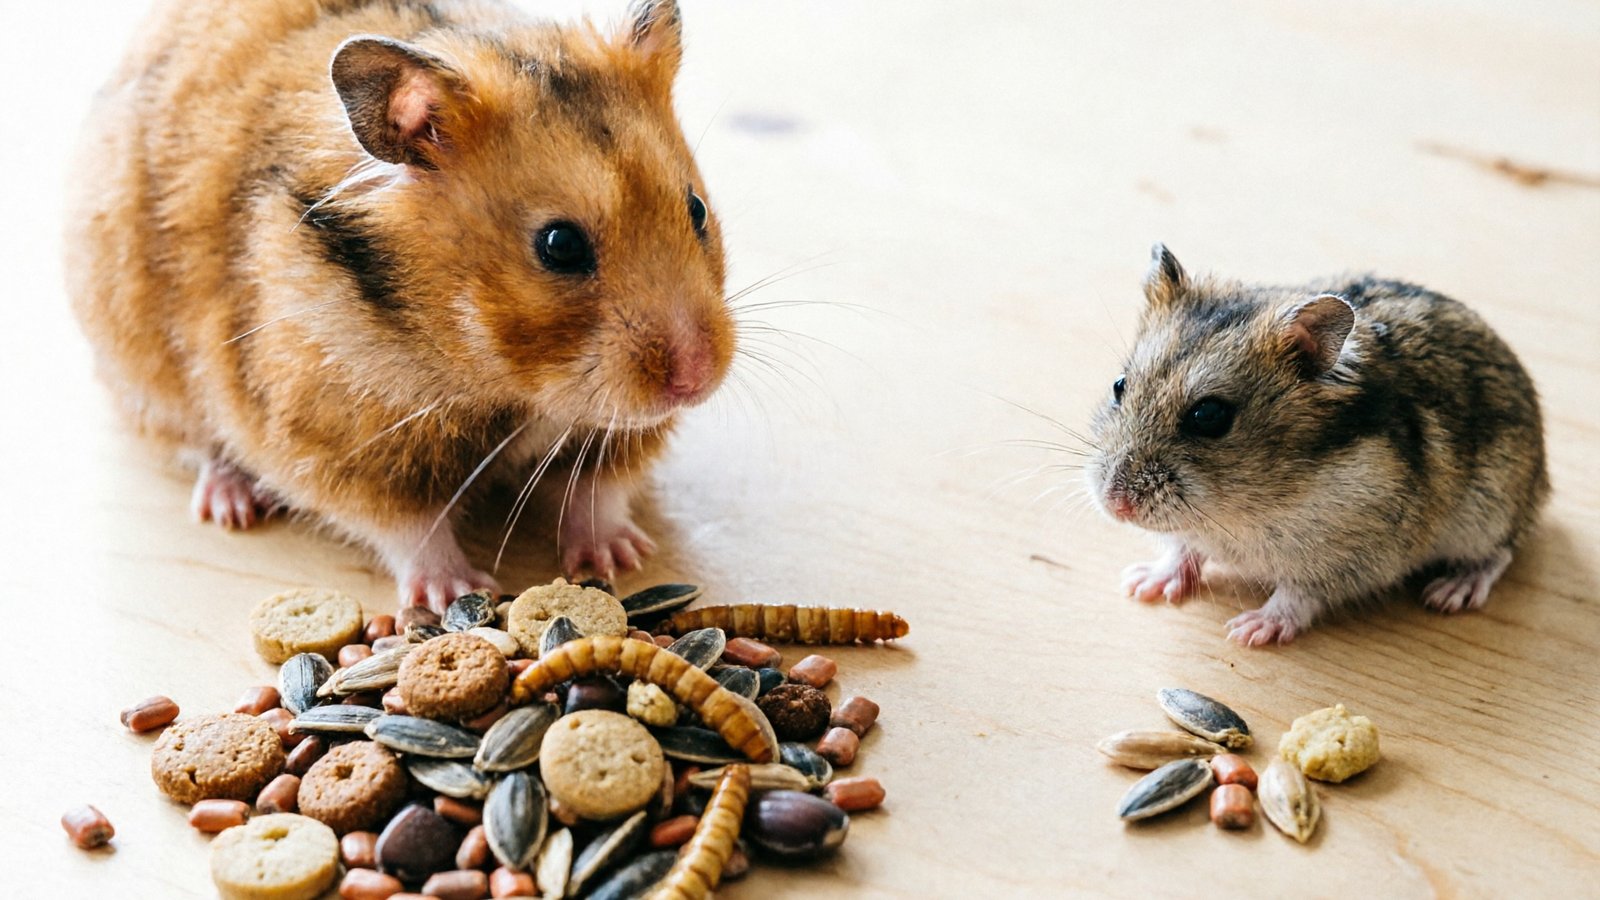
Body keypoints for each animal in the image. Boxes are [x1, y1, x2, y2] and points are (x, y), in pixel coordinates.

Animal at [65, 0, 734, 611]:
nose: (697, 379)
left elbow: (597, 489)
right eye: (560, 245)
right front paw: (454, 593)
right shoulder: (339, 438)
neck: (507, 381)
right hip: (142, 369)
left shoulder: (617, 433)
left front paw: (621, 557)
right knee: (197, 444)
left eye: (696, 208)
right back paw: (230, 506)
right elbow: (411, 526)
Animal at [1085, 244, 1548, 645]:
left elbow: (1297, 595)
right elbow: (1181, 552)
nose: (1115, 505)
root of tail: (1542, 478)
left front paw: (1249, 631)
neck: (1240, 511)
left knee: (1499, 554)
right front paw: (1141, 584)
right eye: (1119, 385)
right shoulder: (1193, 536)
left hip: (1490, 510)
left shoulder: (1348, 560)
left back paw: (1451, 592)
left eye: (1210, 416)